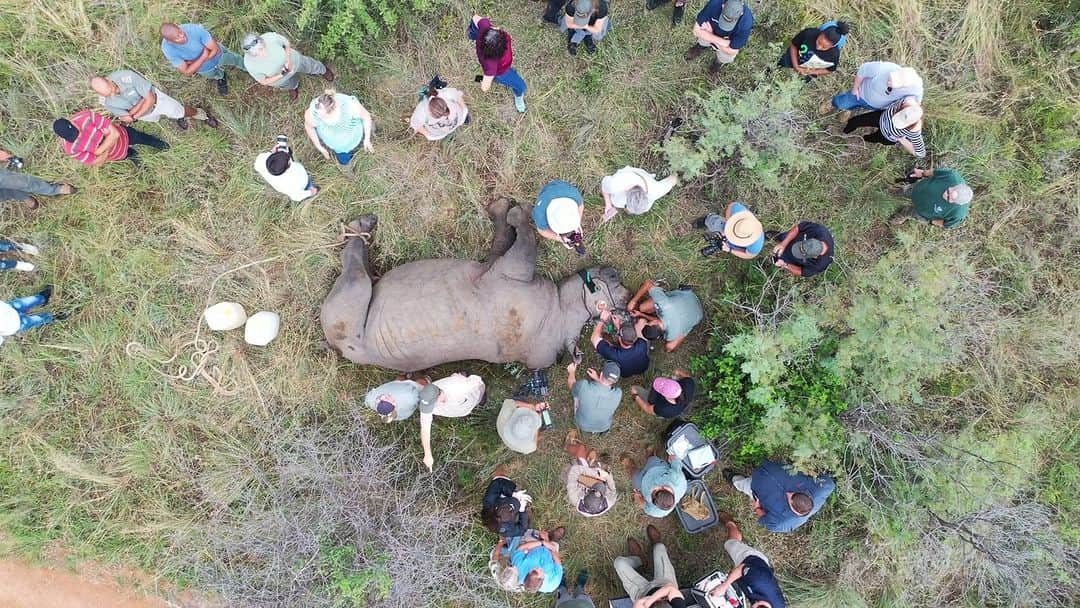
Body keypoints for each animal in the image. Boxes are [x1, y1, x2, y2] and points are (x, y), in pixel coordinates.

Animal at [321, 198, 630, 372]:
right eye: (617, 283)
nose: (615, 270)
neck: (566, 313)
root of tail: (335, 347)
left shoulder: (511, 272)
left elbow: (522, 238)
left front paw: (516, 213)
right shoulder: (498, 269)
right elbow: (506, 239)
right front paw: (504, 209)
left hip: (350, 332)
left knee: (357, 282)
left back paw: (361, 229)